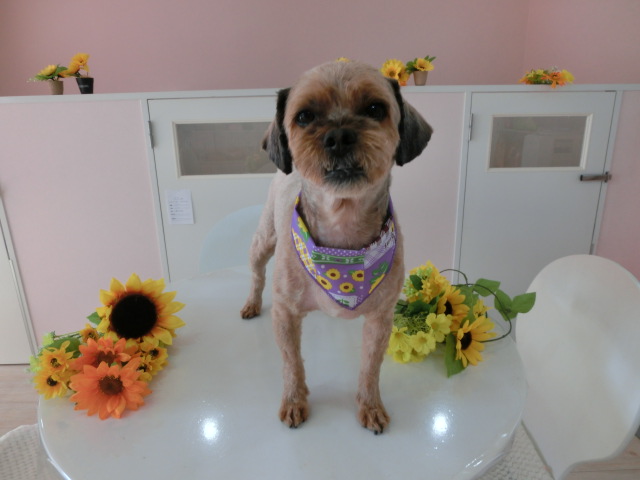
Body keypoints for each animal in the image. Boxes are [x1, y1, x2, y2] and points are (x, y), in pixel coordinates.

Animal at [240, 61, 432, 433]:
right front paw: (294, 401)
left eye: (375, 109)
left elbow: (370, 367)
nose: (339, 135)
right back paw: (251, 303)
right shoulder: (285, 312)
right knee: (256, 271)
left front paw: (370, 406)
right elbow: (291, 363)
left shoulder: (381, 317)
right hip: (265, 237)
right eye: (304, 116)